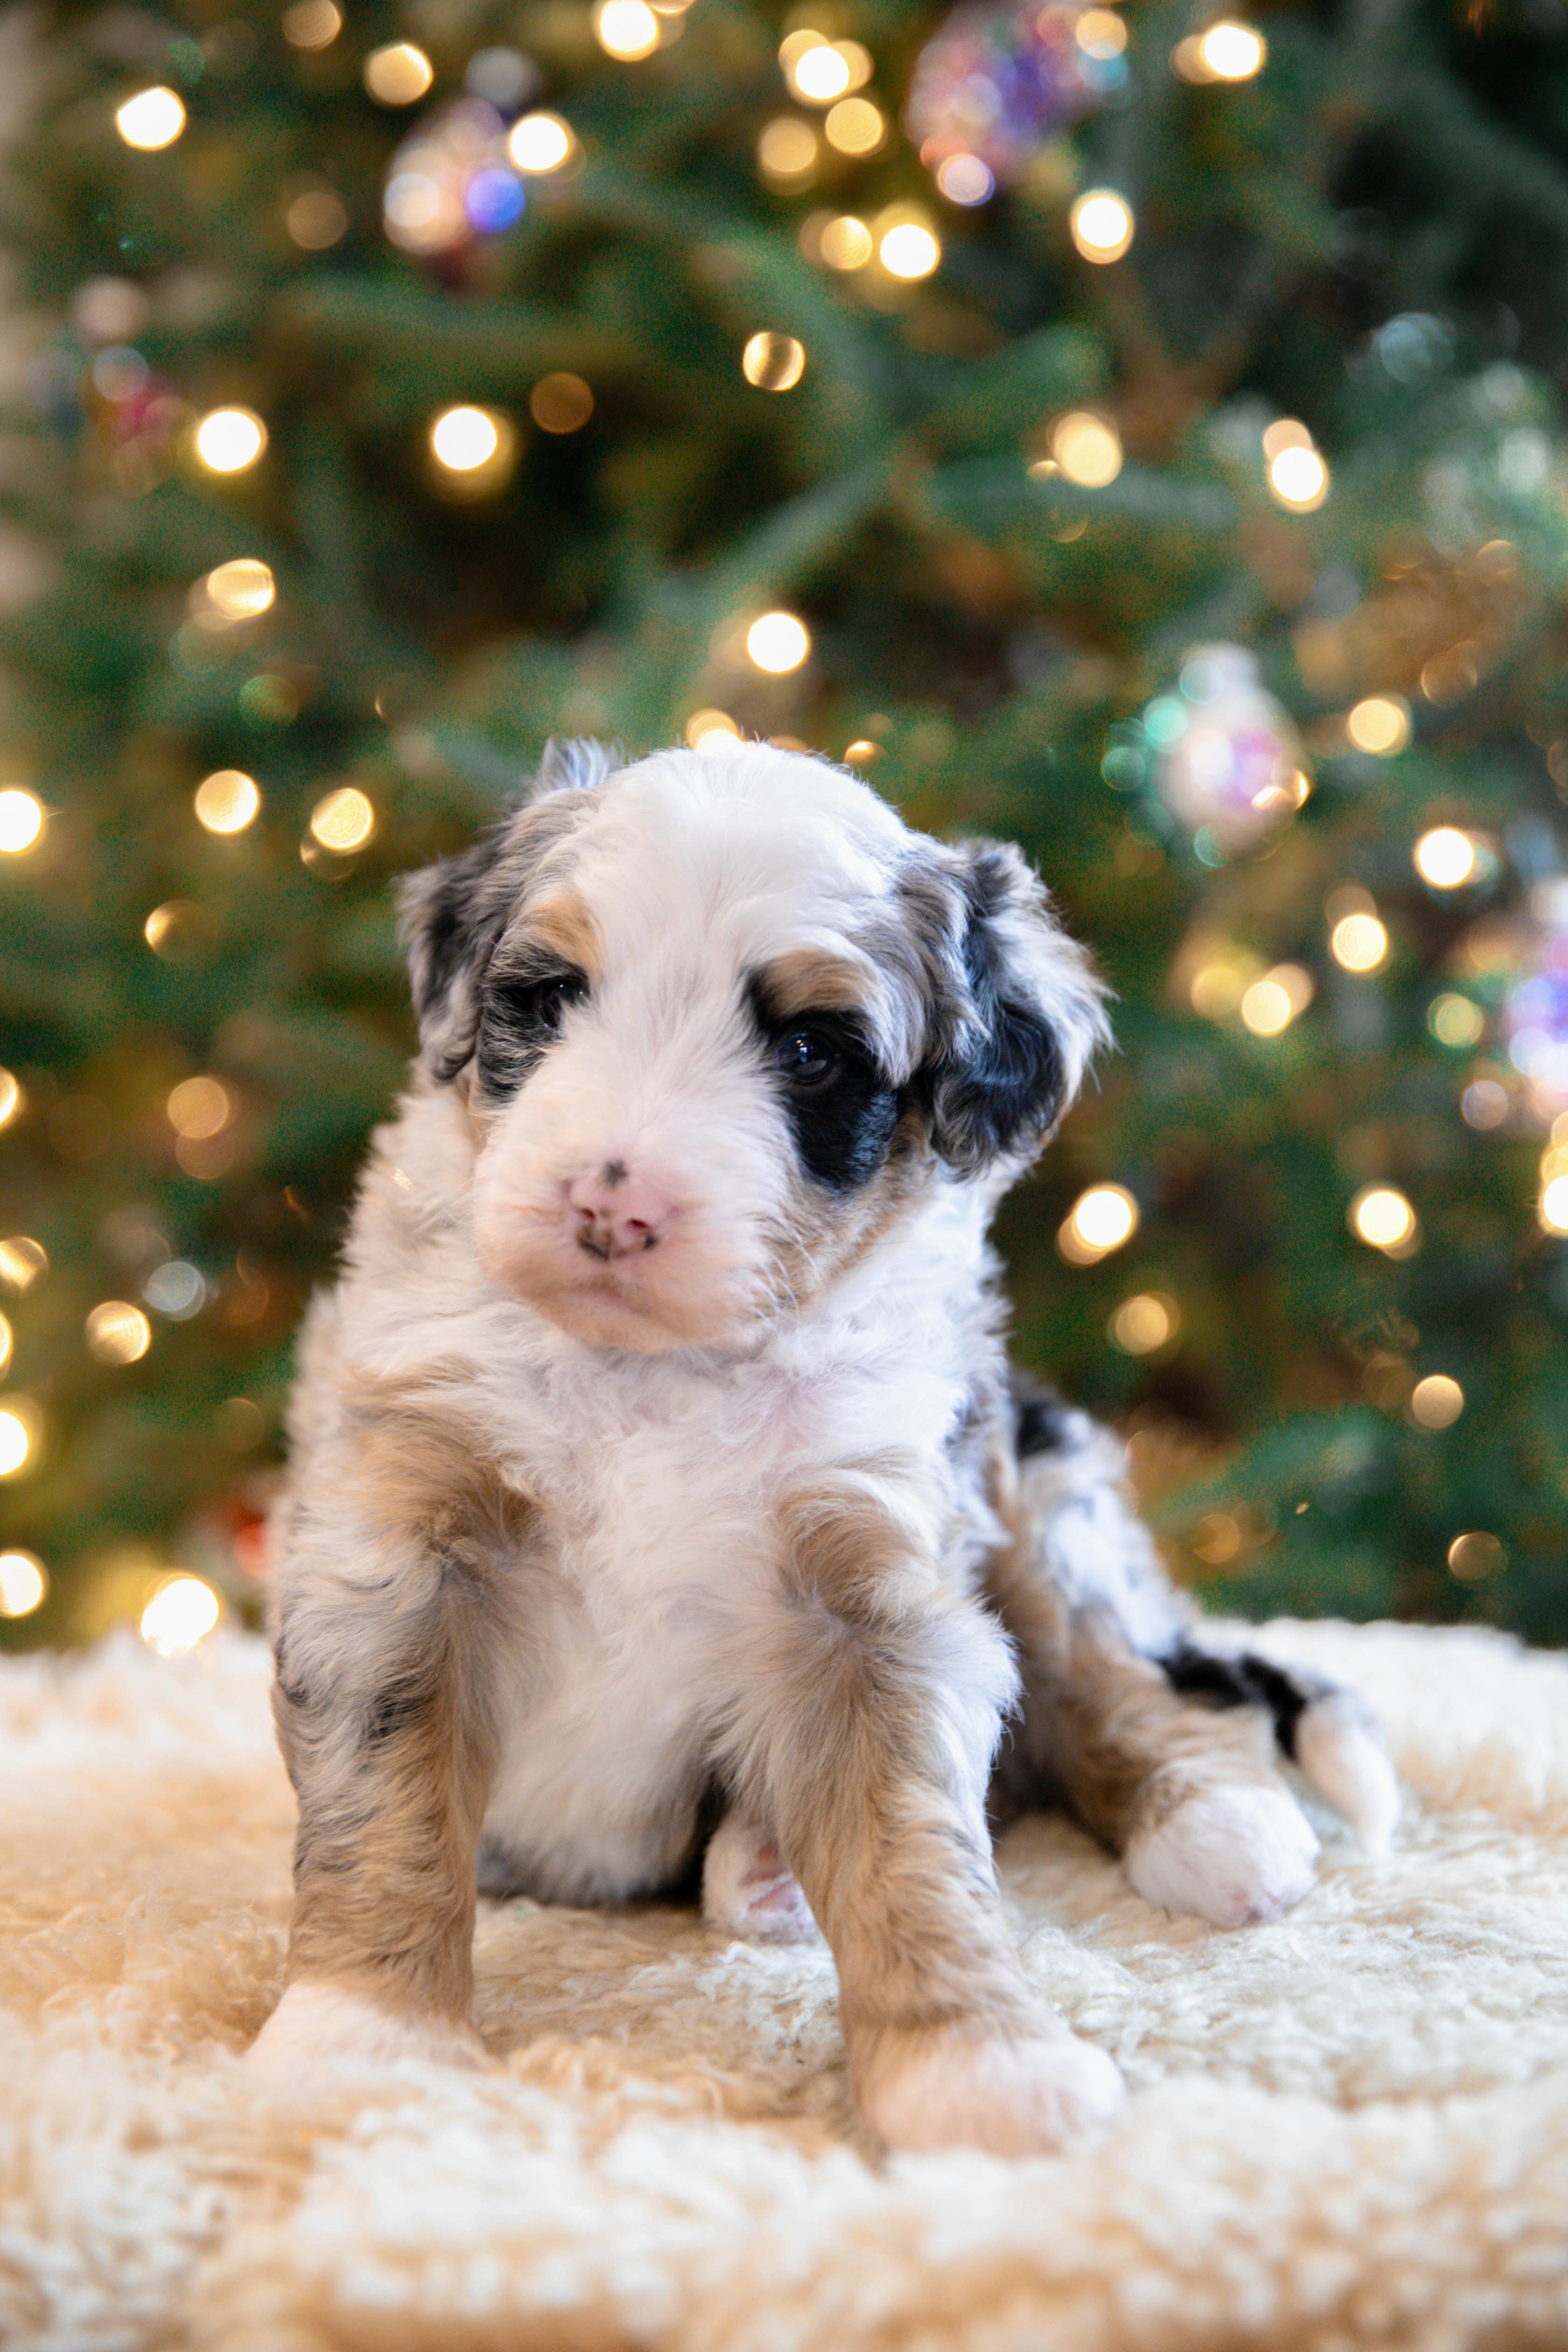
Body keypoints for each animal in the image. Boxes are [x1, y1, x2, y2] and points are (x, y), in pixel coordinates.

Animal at [249, 738, 1397, 2155]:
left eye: (808, 1050)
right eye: (552, 999)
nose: (610, 1208)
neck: (654, 1371)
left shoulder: (875, 1582)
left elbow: (918, 1849)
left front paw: (977, 2068)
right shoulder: (402, 1546)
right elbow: (388, 1808)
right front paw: (362, 2040)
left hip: (1031, 1486)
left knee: (1122, 1677)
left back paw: (1219, 1827)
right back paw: (762, 1867)